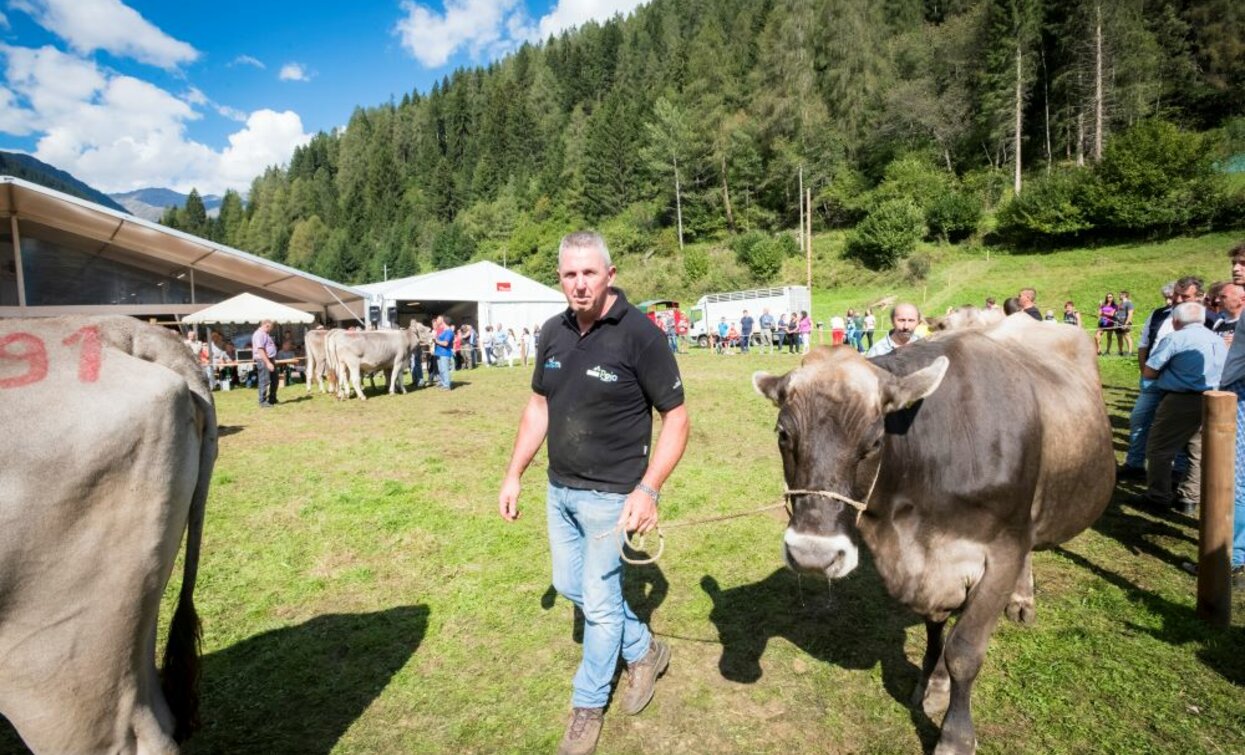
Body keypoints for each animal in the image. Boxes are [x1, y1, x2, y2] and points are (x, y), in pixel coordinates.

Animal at [751, 315, 1115, 755]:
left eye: (875, 441)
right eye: (783, 435)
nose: (812, 556)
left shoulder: (1003, 551)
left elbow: (964, 650)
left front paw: (955, 735)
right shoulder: (930, 567)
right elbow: (936, 627)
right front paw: (933, 684)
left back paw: (1022, 600)